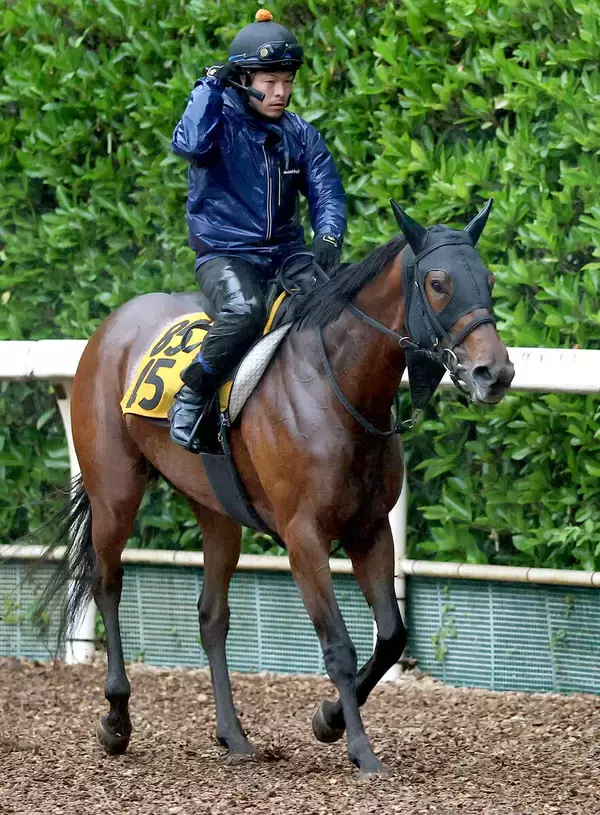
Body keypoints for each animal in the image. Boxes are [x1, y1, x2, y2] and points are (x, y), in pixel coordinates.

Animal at [41, 201, 514, 777]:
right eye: (439, 282)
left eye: (488, 279)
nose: (495, 372)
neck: (335, 386)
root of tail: (113, 324)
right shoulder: (304, 537)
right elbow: (339, 646)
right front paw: (359, 748)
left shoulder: (370, 529)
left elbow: (391, 635)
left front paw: (329, 719)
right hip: (114, 492)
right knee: (107, 584)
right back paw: (116, 717)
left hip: (216, 510)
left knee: (211, 616)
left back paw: (233, 734)